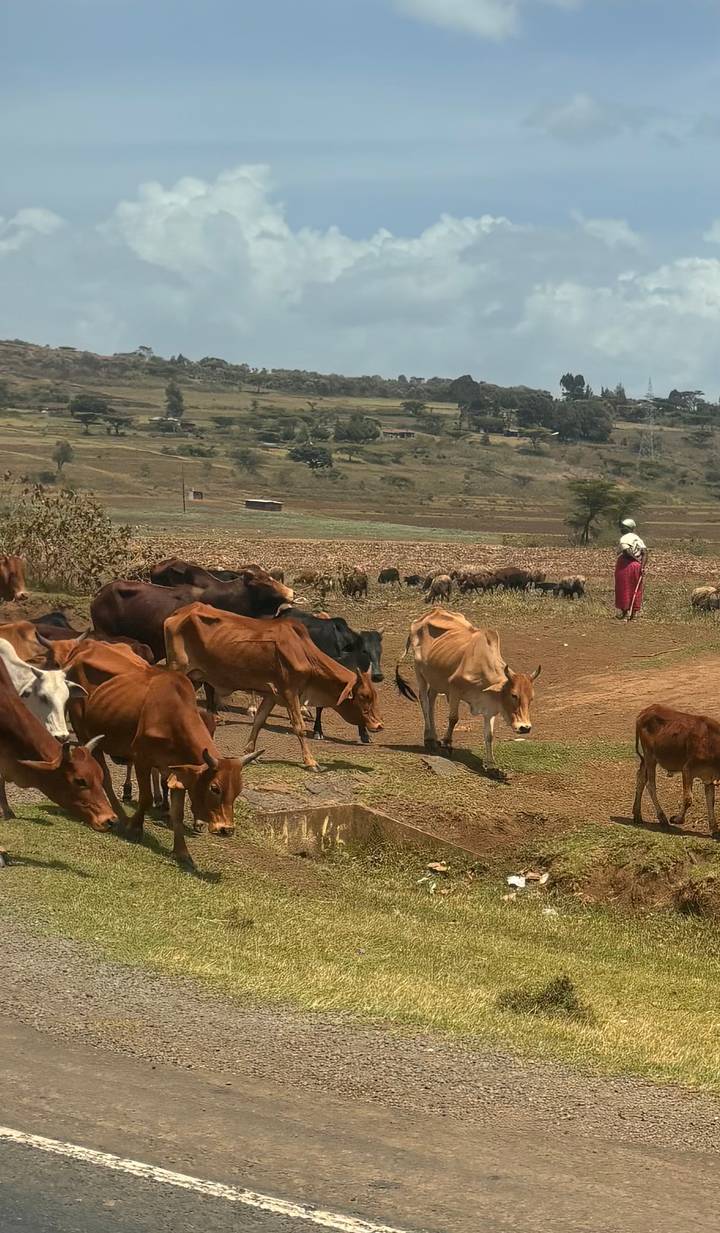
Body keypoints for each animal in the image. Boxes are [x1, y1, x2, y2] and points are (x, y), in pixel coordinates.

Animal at [165, 603, 383, 771]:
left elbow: (259, 721)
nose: (378, 725)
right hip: (178, 668)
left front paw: (250, 752)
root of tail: (177, 613)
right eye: (364, 696)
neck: (303, 651)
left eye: (374, 695)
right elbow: (299, 727)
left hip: (194, 677)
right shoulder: (290, 691)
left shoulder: (271, 694)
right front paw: (311, 762)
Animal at [395, 608, 540, 765]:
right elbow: (453, 718)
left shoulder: (489, 704)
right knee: (424, 702)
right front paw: (447, 743)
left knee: (431, 700)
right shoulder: (454, 690)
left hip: (436, 679)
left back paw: (434, 737)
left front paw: (490, 763)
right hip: (419, 671)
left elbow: (489, 734)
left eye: (531, 699)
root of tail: (429, 613)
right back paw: (429, 738)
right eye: (514, 695)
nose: (525, 727)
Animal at [633, 704, 720, 835]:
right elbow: (688, 798)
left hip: (647, 759)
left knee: (641, 779)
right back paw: (662, 818)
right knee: (650, 785)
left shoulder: (709, 777)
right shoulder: (687, 769)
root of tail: (645, 712)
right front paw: (677, 819)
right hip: (650, 756)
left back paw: (637, 815)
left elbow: (711, 801)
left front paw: (714, 828)